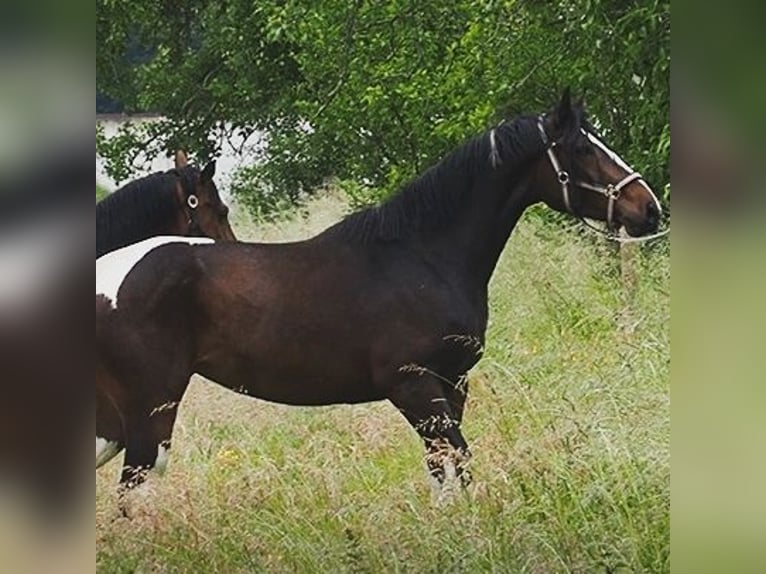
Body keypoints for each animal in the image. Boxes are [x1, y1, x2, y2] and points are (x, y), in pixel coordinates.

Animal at [94, 92, 660, 498]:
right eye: (582, 149)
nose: (648, 208)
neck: (423, 257)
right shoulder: (413, 386)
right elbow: (456, 467)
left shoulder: (452, 385)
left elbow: (448, 474)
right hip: (150, 410)